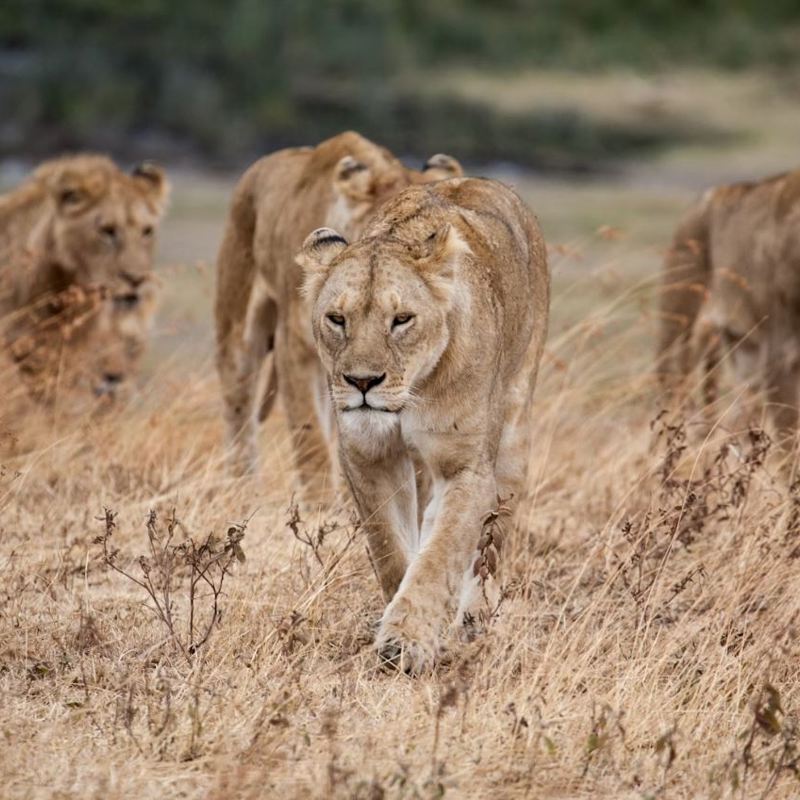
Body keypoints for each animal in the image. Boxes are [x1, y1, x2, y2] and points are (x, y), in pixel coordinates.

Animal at [215, 131, 463, 502]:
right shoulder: (297, 350)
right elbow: (311, 441)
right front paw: (320, 508)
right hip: (237, 330)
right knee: (239, 413)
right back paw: (241, 491)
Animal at [297, 177, 549, 673]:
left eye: (401, 320)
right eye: (337, 319)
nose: (362, 382)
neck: (410, 395)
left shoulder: (466, 467)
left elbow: (441, 554)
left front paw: (406, 643)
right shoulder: (367, 455)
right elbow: (391, 548)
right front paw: (399, 617)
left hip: (514, 434)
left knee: (492, 542)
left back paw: (473, 619)